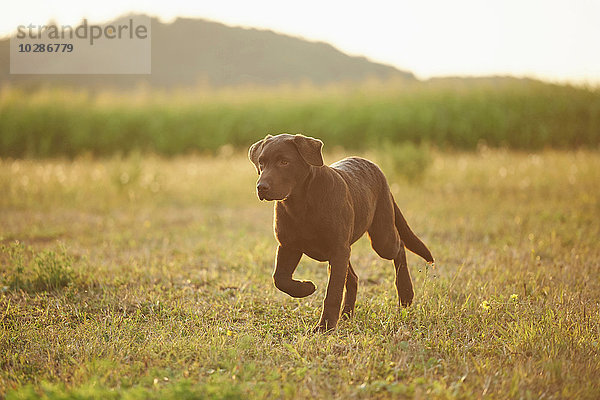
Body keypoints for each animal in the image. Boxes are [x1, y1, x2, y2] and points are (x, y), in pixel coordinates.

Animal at [247, 134, 432, 332]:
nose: (261, 187)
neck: (301, 203)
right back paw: (346, 314)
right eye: (261, 163)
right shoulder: (289, 246)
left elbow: (333, 292)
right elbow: (280, 278)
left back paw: (406, 293)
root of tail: (374, 167)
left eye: (284, 162)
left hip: (381, 238)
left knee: (399, 247)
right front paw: (306, 288)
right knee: (354, 277)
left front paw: (325, 326)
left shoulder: (337, 250)